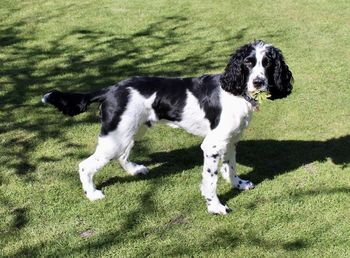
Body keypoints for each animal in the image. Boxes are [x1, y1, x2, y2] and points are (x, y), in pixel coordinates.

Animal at [41, 39, 292, 214]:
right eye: (248, 63)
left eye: (267, 63)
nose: (258, 82)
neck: (235, 91)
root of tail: (111, 89)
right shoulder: (212, 146)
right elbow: (211, 180)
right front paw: (215, 207)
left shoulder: (231, 140)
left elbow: (230, 168)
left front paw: (239, 184)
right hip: (117, 136)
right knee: (85, 165)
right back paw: (92, 193)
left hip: (133, 129)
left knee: (122, 156)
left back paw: (134, 170)